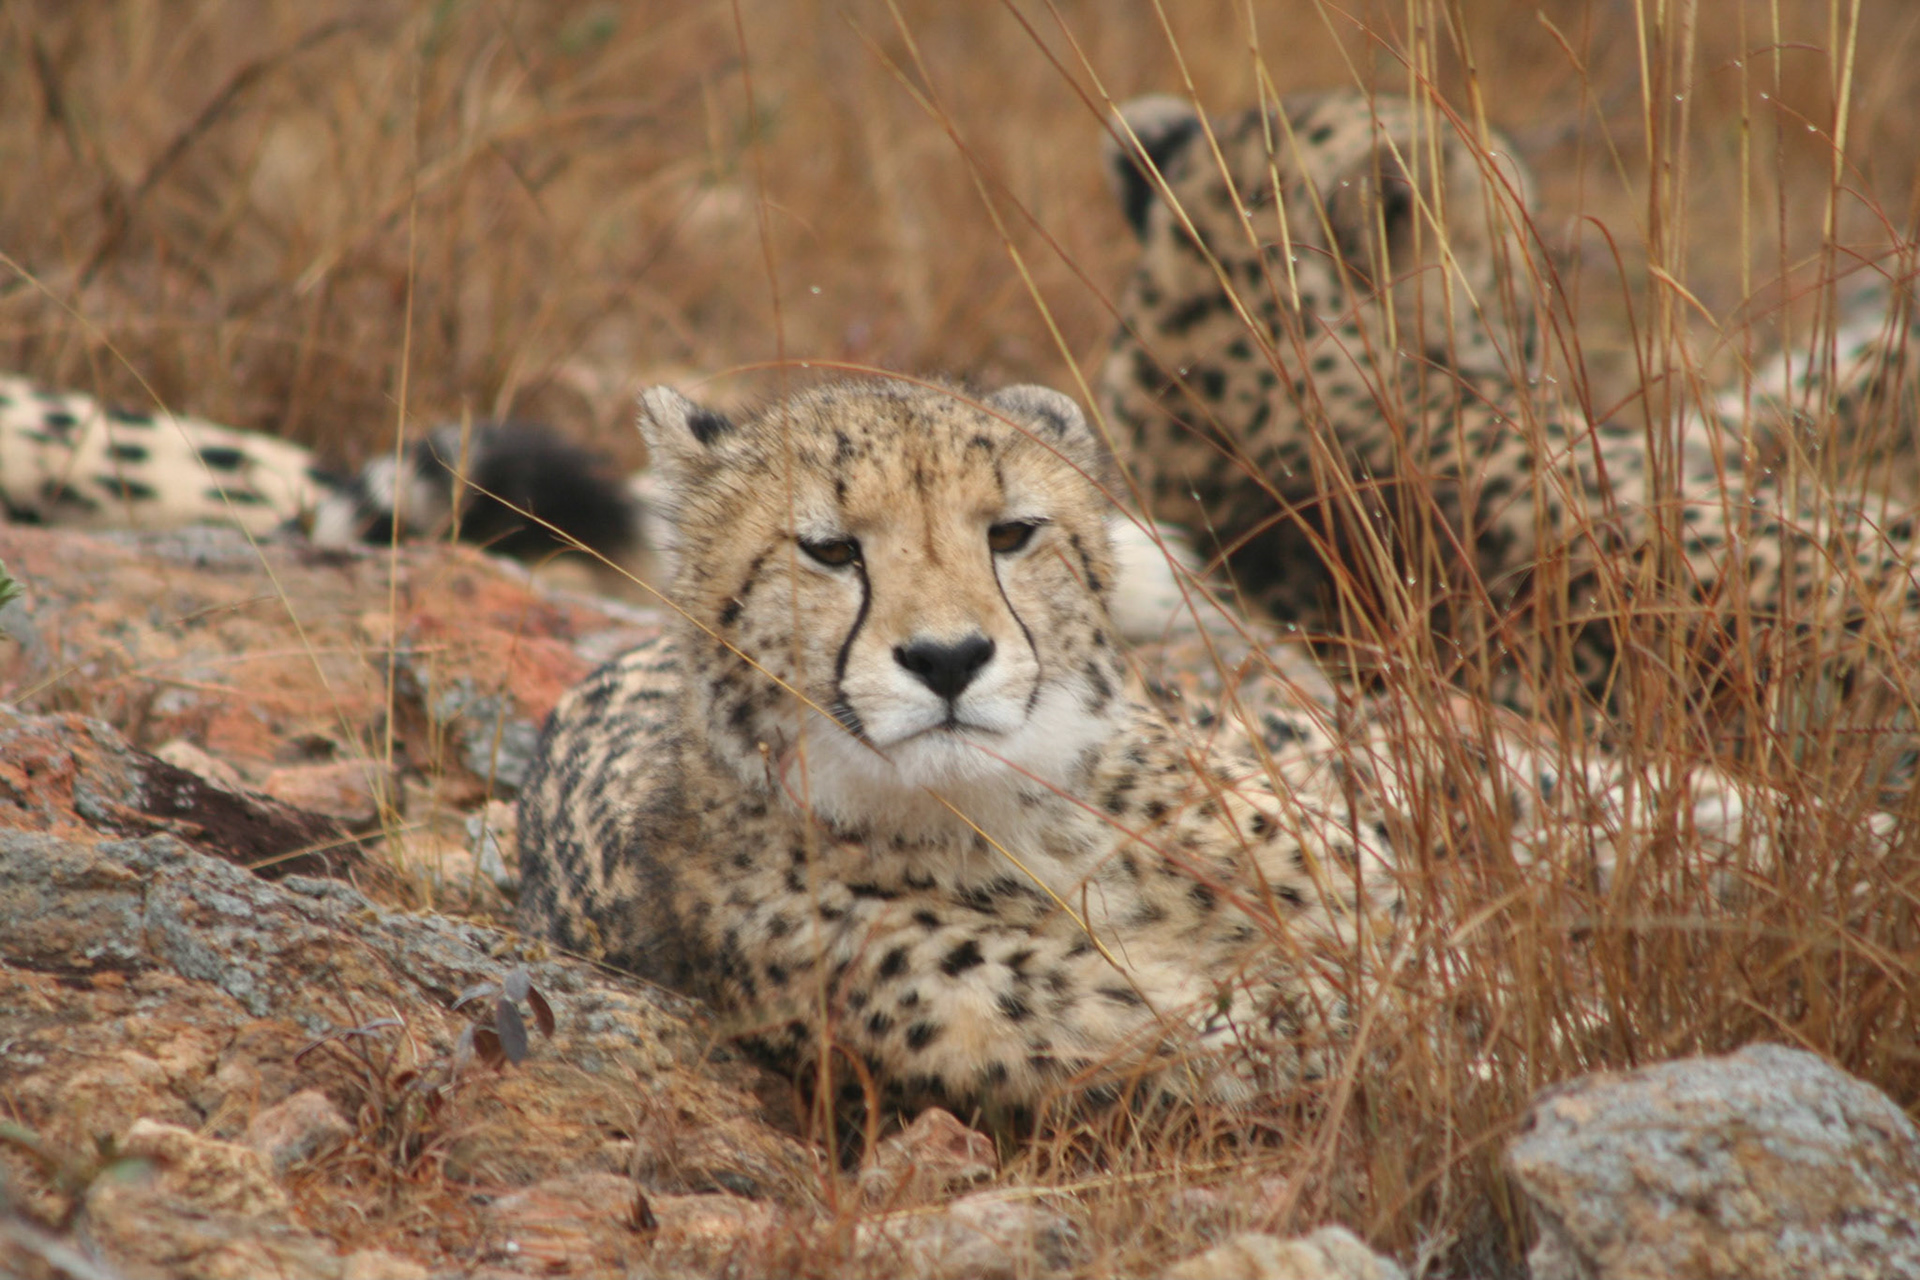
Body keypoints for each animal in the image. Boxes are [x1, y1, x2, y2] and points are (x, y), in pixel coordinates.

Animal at [513, 374, 1797, 1117]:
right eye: (829, 550)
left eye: (1012, 533)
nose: (947, 658)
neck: (1019, 818)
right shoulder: (1192, 1043)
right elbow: (1420, 1038)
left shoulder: (1386, 909)